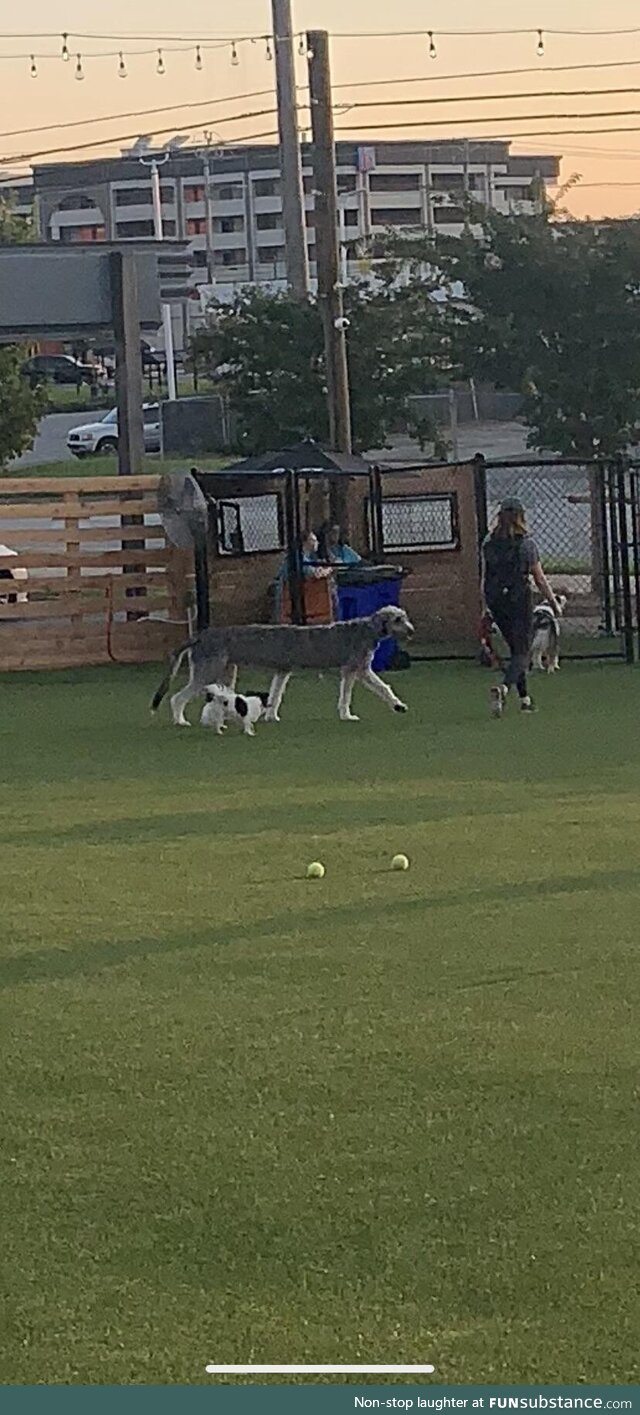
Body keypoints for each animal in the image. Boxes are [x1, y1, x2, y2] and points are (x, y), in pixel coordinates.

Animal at [151, 602, 416, 724]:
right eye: (397, 619)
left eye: (404, 617)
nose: (412, 631)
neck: (367, 629)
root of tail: (200, 635)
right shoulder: (355, 669)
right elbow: (357, 692)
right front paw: (347, 715)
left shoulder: (283, 671)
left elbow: (276, 694)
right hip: (207, 671)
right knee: (178, 697)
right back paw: (180, 720)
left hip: (226, 672)